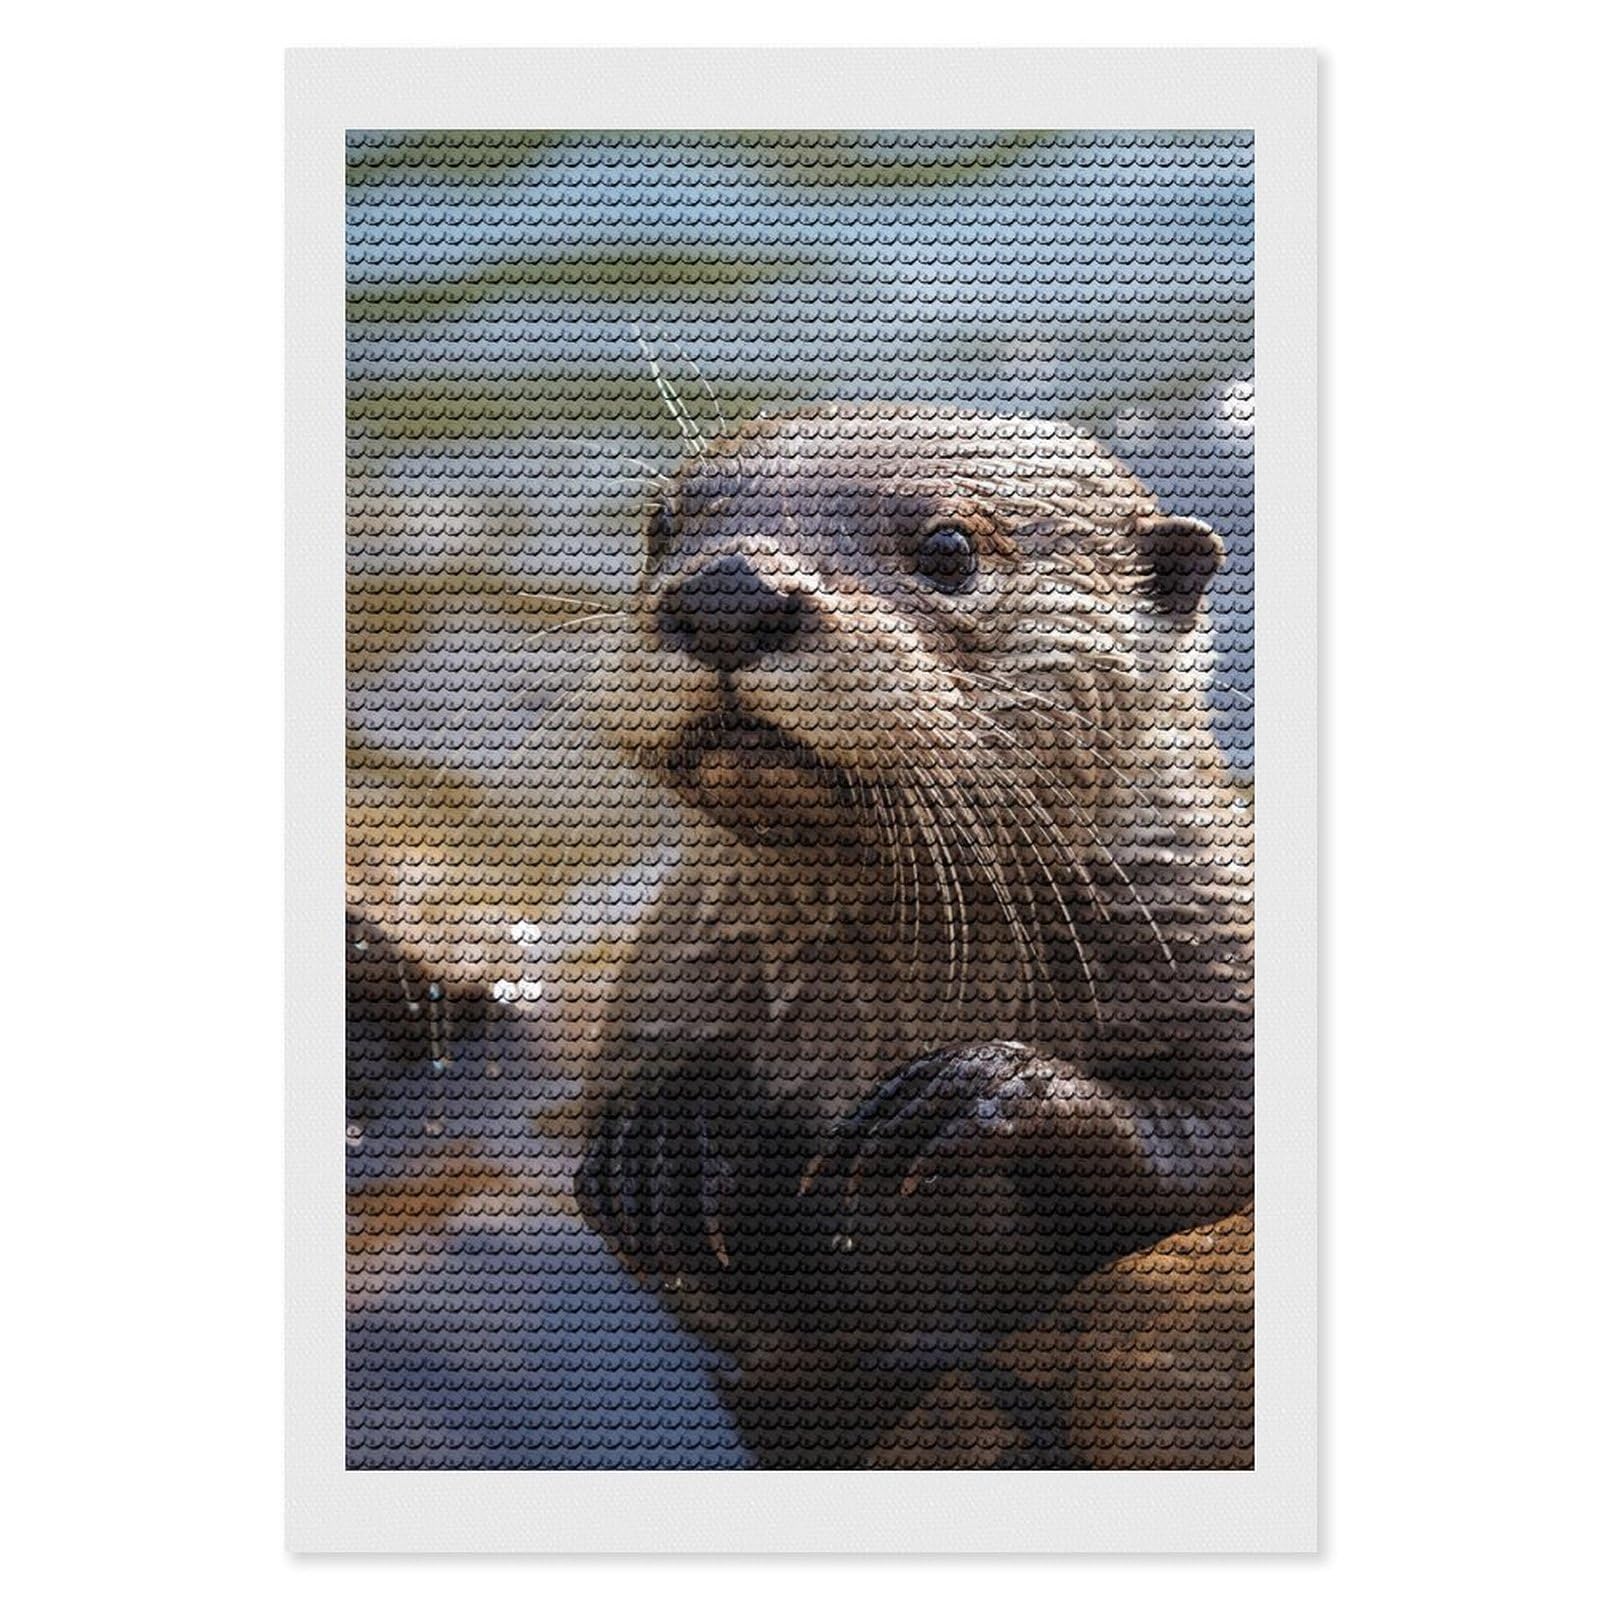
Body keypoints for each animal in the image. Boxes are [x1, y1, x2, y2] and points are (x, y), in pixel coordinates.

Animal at [574, 406, 1253, 1467]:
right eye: (662, 525)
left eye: (949, 549)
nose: (727, 594)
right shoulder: (665, 975)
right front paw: (665, 1134)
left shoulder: (1224, 943)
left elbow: (1215, 1149)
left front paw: (987, 1090)